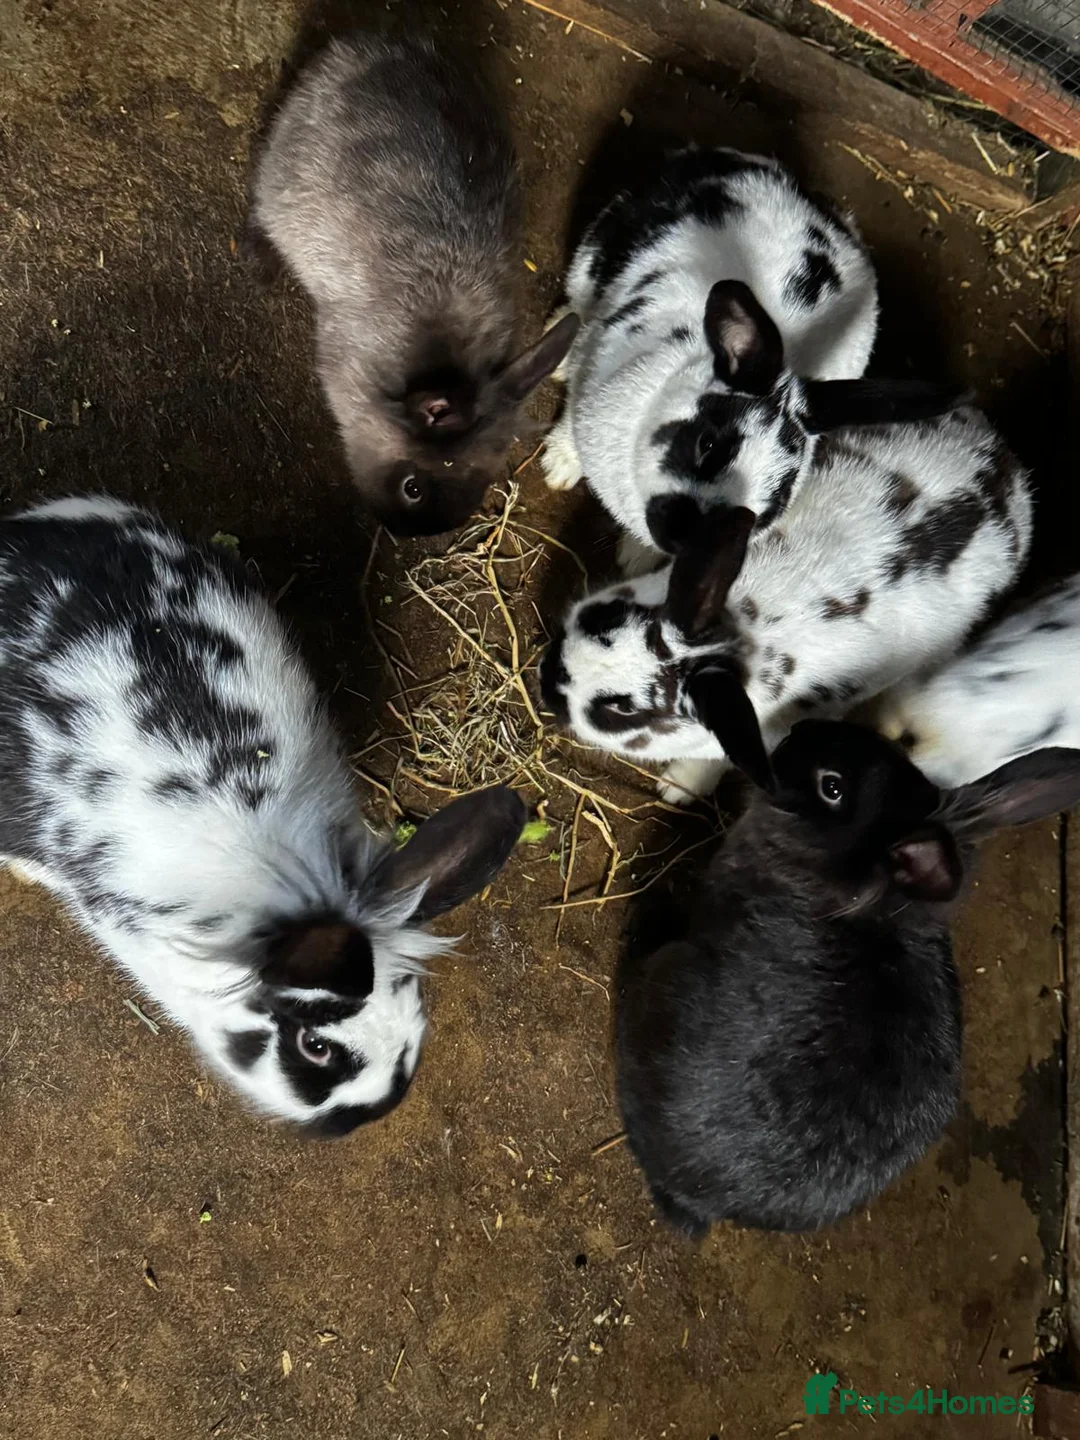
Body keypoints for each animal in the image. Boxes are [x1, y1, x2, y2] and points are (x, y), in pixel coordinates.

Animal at [540, 144, 961, 557]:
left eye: (773, 498)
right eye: (707, 444)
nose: (681, 537)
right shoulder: (594, 365)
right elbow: (573, 416)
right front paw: (557, 466)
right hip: (594, 251)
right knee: (580, 307)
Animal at [540, 404, 1032, 803]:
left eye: (622, 710)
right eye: (605, 621)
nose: (549, 678)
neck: (741, 631)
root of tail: (1002, 464)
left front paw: (678, 788)